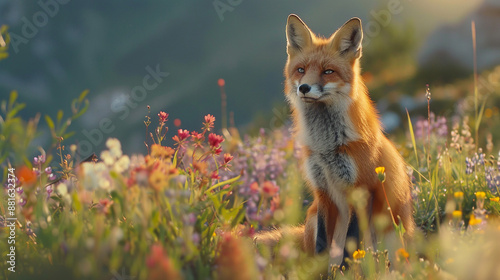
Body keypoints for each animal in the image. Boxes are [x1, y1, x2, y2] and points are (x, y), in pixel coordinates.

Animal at [254, 14, 414, 266]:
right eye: (300, 70)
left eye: (327, 71)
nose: (304, 88)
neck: (326, 147)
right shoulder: (322, 192)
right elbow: (322, 243)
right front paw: (318, 271)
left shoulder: (361, 191)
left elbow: (351, 246)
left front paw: (345, 270)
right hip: (310, 218)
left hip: (393, 236)